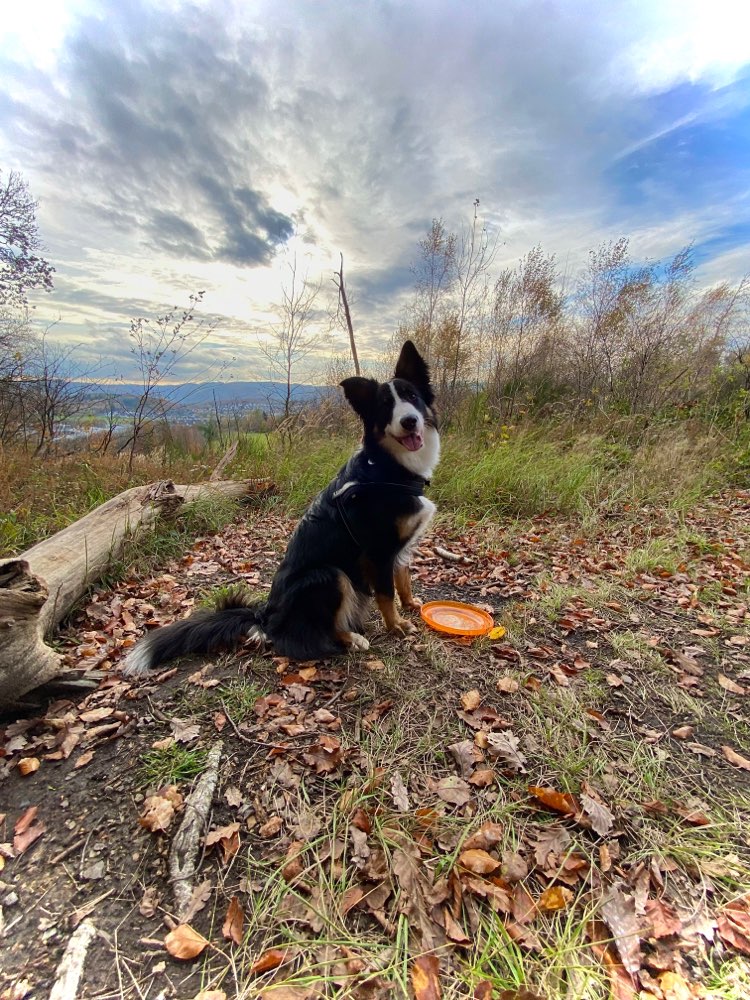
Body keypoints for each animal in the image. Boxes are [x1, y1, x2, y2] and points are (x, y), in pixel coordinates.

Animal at [122, 340, 440, 676]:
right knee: (322, 628)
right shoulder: (378, 552)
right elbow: (386, 594)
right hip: (329, 575)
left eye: (412, 397)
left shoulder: (402, 547)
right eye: (385, 407)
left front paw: (411, 605)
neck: (385, 468)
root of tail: (266, 616)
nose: (409, 421)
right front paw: (397, 625)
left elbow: (403, 579)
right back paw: (352, 638)